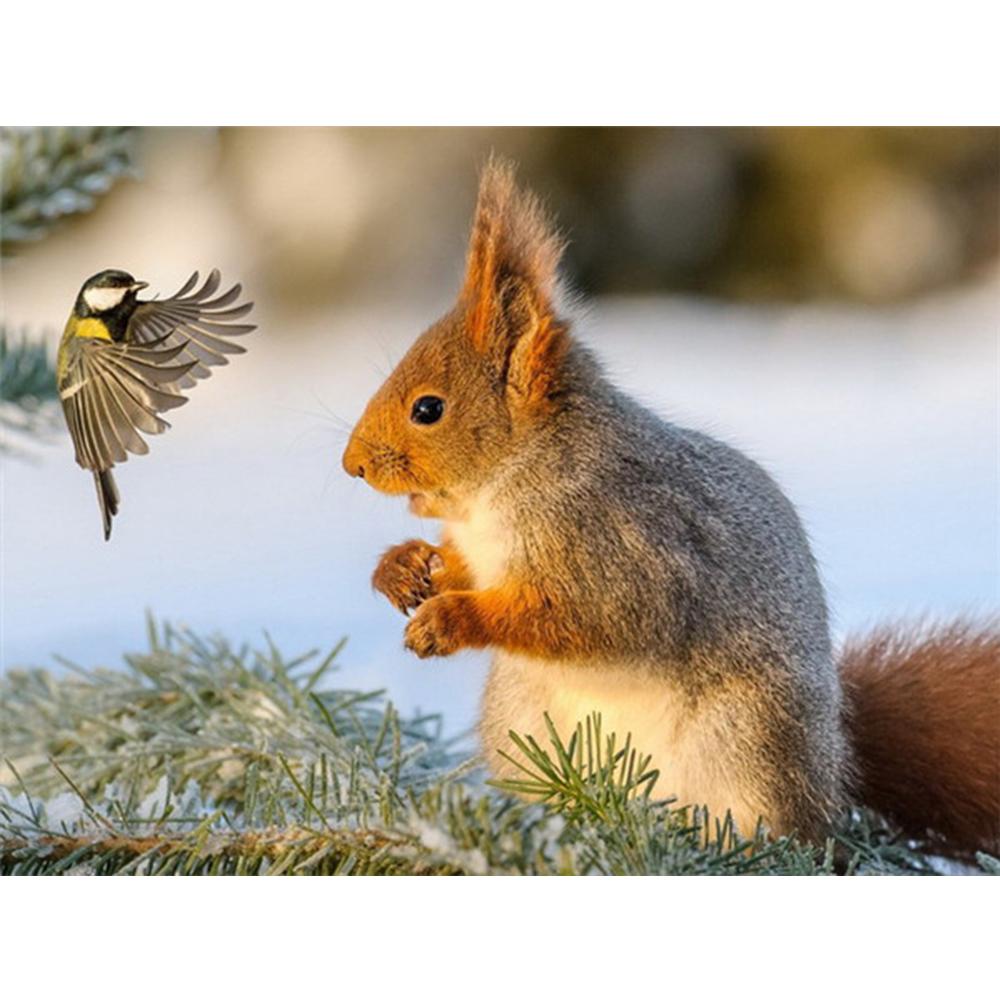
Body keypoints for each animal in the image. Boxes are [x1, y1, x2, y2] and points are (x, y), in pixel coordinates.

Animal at [342, 158, 999, 854]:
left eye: (428, 408)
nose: (351, 465)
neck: (502, 489)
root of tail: (835, 762)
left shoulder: (623, 548)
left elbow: (582, 618)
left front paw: (449, 619)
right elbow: (461, 567)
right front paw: (403, 567)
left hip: (749, 739)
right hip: (521, 720)